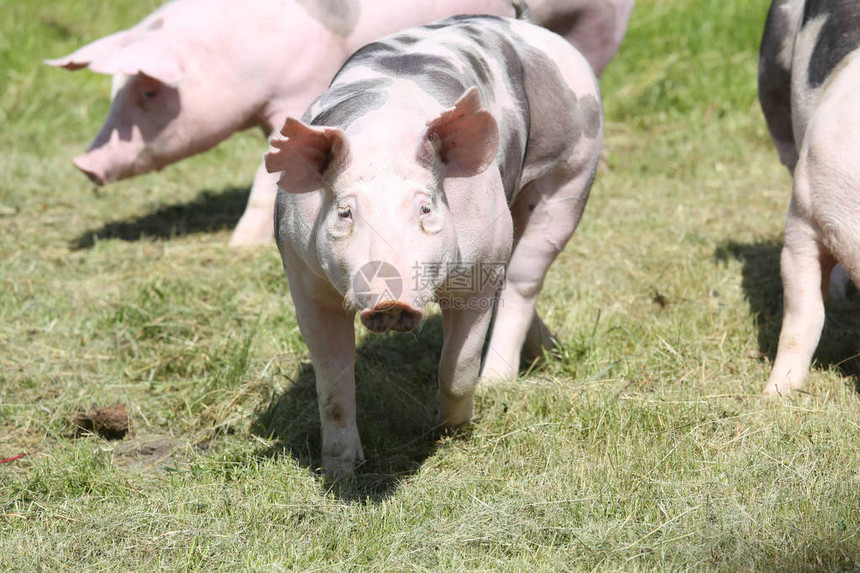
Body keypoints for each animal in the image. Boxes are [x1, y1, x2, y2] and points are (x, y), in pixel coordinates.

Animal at [45, 0, 632, 246]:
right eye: (115, 91)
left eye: (148, 90)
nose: (83, 163)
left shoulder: (298, 91)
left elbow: (265, 179)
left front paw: (238, 245)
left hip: (599, 27)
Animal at [266, 15, 600, 472]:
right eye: (345, 212)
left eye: (425, 208)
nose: (390, 301)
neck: (385, 138)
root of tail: (525, 24)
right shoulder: (303, 279)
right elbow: (332, 385)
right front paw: (342, 468)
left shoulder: (480, 269)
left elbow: (458, 366)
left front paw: (450, 431)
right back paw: (549, 352)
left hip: (573, 170)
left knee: (523, 279)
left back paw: (498, 382)